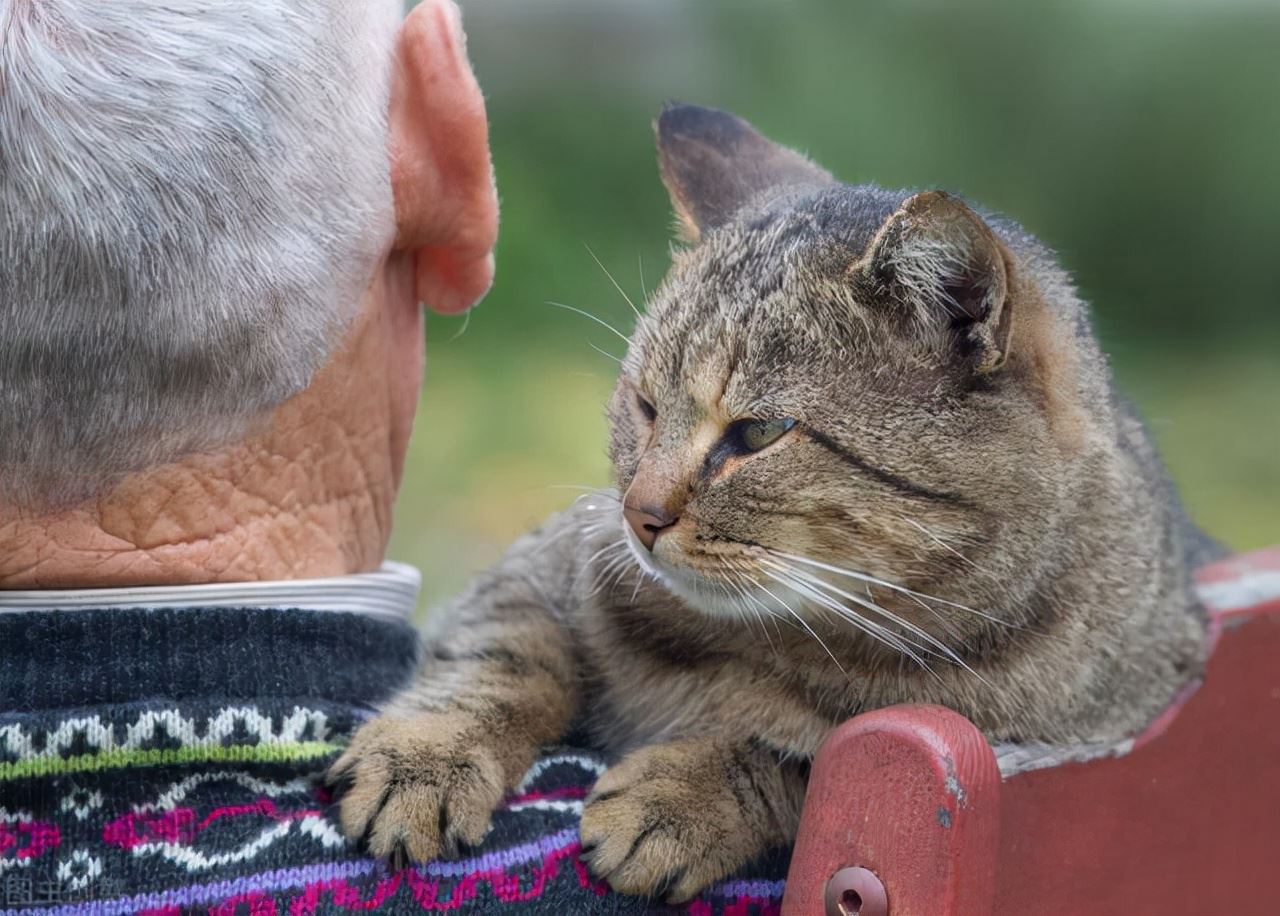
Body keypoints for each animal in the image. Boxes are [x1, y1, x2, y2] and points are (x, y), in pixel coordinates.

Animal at [325, 103, 1213, 900]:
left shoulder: (1013, 746)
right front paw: (423, 756)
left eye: (757, 433)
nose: (638, 515)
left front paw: (682, 795)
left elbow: (803, 758)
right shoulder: (544, 563)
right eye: (645, 406)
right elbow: (501, 653)